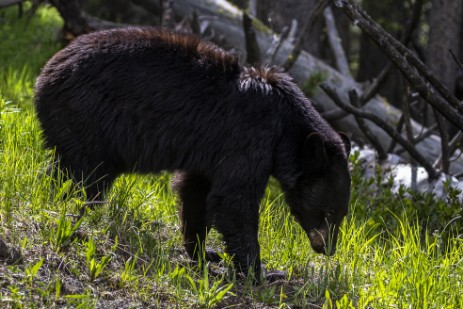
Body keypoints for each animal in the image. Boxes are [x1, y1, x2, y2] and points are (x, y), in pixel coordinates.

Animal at [34, 27, 352, 280]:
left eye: (342, 213)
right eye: (330, 211)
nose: (328, 248)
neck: (285, 126)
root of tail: (44, 75)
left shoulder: (210, 155)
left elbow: (196, 193)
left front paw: (203, 253)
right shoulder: (250, 138)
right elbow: (234, 201)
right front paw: (262, 274)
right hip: (89, 119)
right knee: (85, 177)